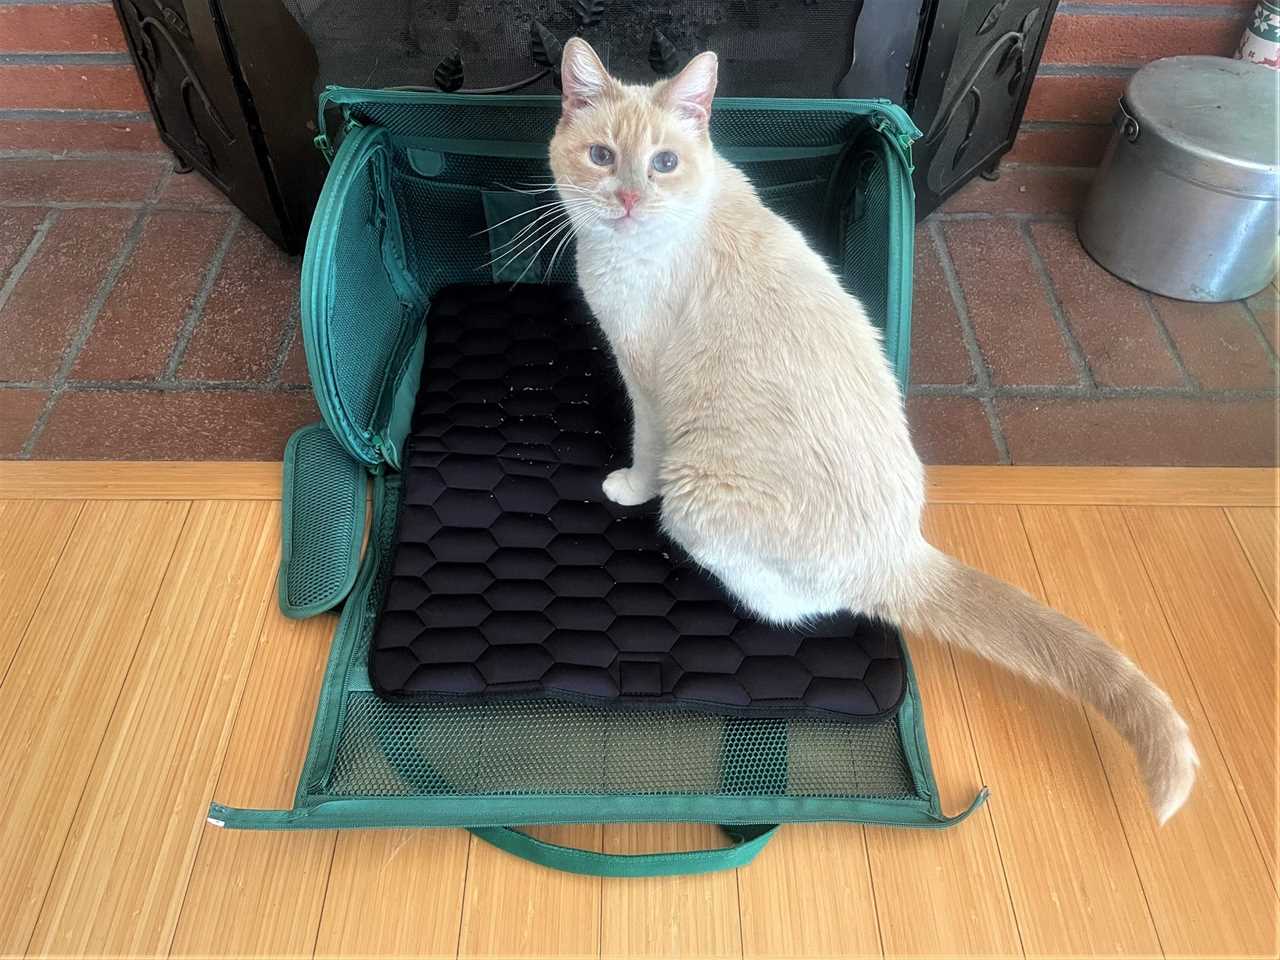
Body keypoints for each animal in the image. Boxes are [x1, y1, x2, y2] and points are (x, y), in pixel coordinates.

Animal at [550, 39, 1198, 829]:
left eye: (664, 163)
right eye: (603, 156)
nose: (629, 199)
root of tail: (901, 552)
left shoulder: (643, 379)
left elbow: (644, 450)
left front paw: (624, 486)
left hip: (696, 499)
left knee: (791, 602)